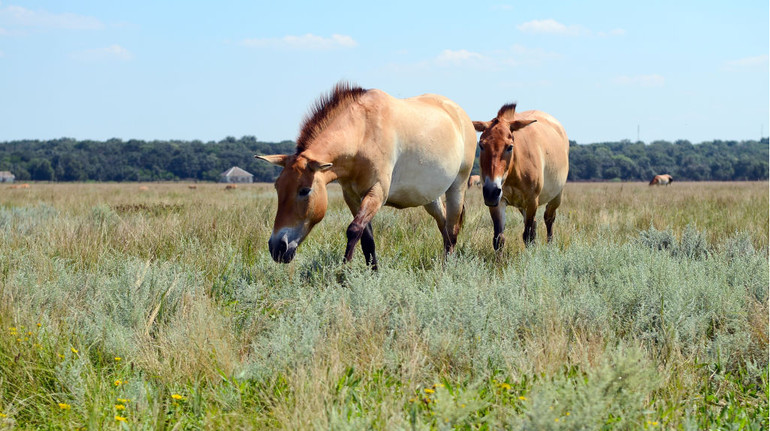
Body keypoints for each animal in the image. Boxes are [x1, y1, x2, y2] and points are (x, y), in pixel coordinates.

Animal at [255, 82, 476, 270]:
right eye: (277, 188)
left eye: (304, 191)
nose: (277, 247)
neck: (363, 134)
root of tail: (461, 115)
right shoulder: (352, 196)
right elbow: (366, 238)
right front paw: (373, 275)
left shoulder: (377, 193)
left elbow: (354, 230)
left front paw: (343, 275)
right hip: (431, 197)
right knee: (444, 226)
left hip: (457, 187)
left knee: (452, 229)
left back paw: (448, 269)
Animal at [472, 102, 568, 248]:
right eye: (481, 145)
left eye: (510, 146)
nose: (491, 191)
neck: (514, 172)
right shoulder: (498, 202)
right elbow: (499, 239)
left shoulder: (532, 201)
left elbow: (528, 236)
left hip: (556, 196)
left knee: (549, 218)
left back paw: (550, 246)